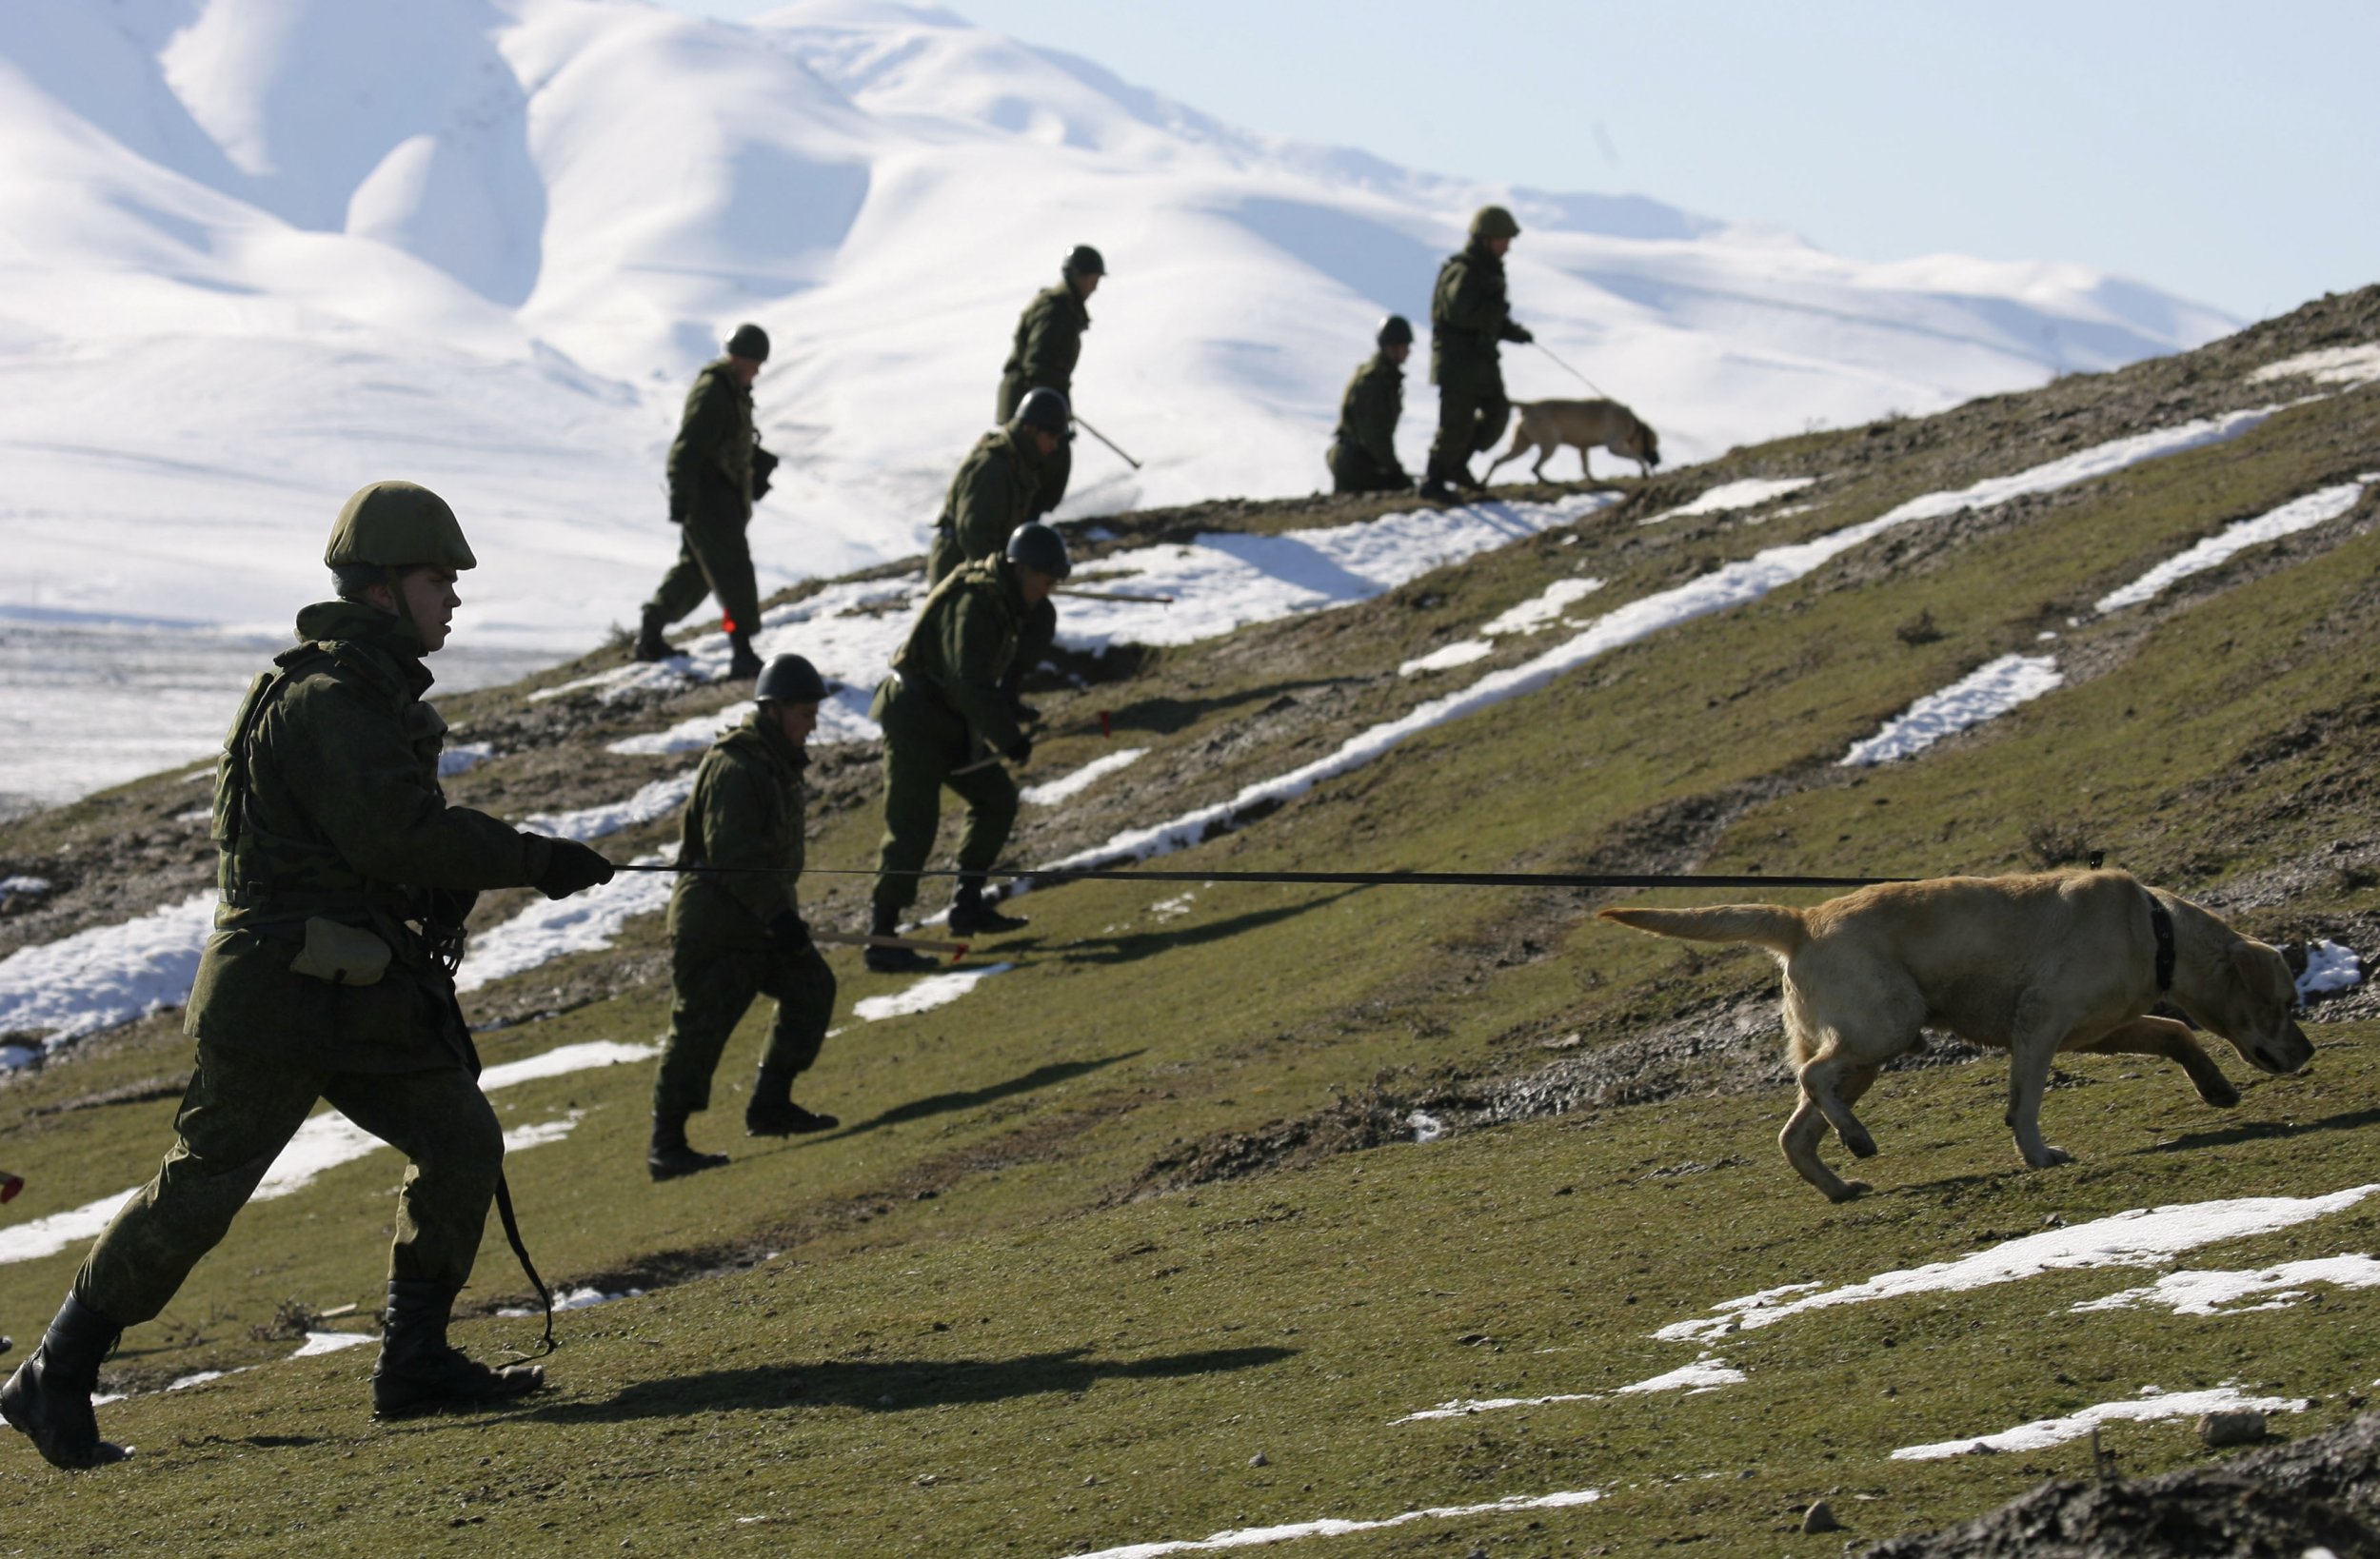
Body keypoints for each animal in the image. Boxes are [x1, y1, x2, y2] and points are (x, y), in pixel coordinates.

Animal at [1599, 871, 2304, 1199]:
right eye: (2285, 1001)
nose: (2309, 1049)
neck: (2156, 932)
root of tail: (1803, 919)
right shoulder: (2040, 1021)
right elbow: (2025, 1102)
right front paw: (2038, 1154)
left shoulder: (2103, 1028)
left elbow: (2177, 1033)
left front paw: (2217, 1090)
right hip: (1889, 1027)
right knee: (1812, 1076)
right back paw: (1857, 1141)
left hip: (1867, 1053)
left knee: (1795, 1131)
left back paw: (1839, 1185)